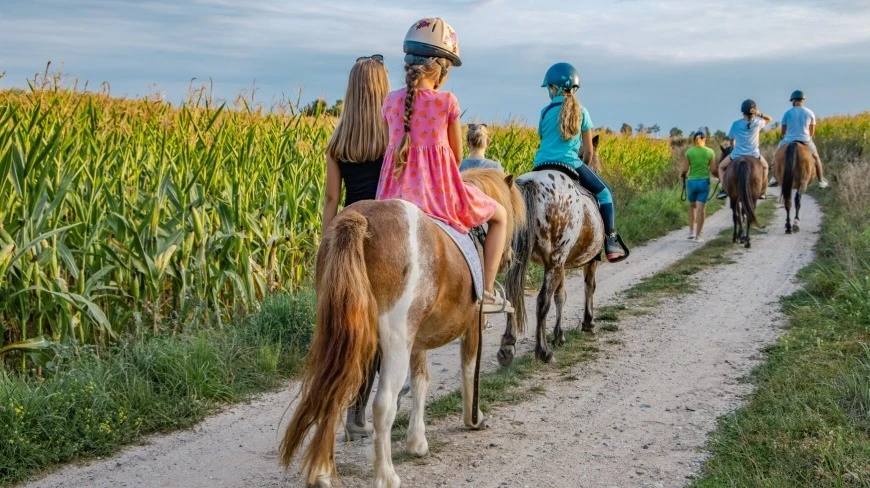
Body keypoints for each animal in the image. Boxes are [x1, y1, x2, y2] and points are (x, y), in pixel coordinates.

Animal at [280, 169, 524, 488]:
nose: (508, 258)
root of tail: (360, 221)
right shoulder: (472, 325)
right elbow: (469, 369)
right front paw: (474, 418)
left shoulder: (416, 338)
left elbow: (421, 380)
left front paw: (416, 442)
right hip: (394, 341)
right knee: (382, 405)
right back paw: (386, 476)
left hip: (341, 335)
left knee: (332, 390)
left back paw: (321, 472)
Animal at [498, 135, 608, 364]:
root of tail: (530, 183)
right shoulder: (588, 260)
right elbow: (589, 287)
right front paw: (588, 323)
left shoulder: (561, 263)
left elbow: (561, 295)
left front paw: (559, 336)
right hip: (555, 262)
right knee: (542, 301)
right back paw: (543, 351)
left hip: (520, 258)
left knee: (512, 295)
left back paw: (507, 347)